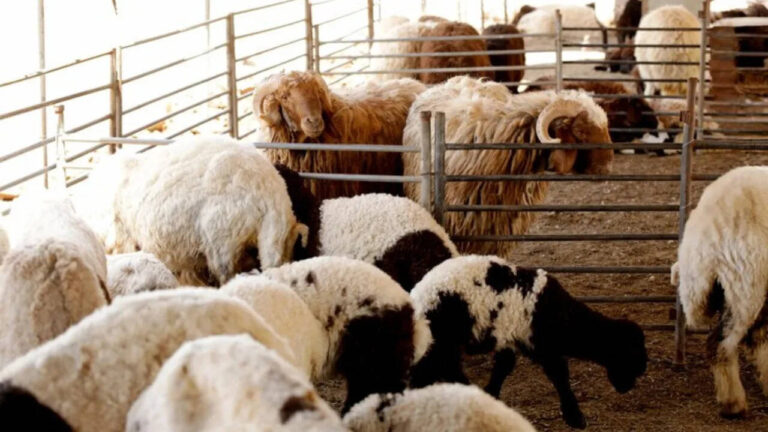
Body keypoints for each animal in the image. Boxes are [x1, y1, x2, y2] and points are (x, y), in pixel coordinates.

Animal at [409, 255, 648, 429]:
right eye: (632, 351)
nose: (629, 385)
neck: (565, 318)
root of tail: (419, 297)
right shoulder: (542, 344)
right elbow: (560, 374)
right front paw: (575, 417)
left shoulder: (511, 339)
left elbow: (504, 367)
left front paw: (491, 394)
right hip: (442, 336)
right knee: (434, 366)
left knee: (442, 366)